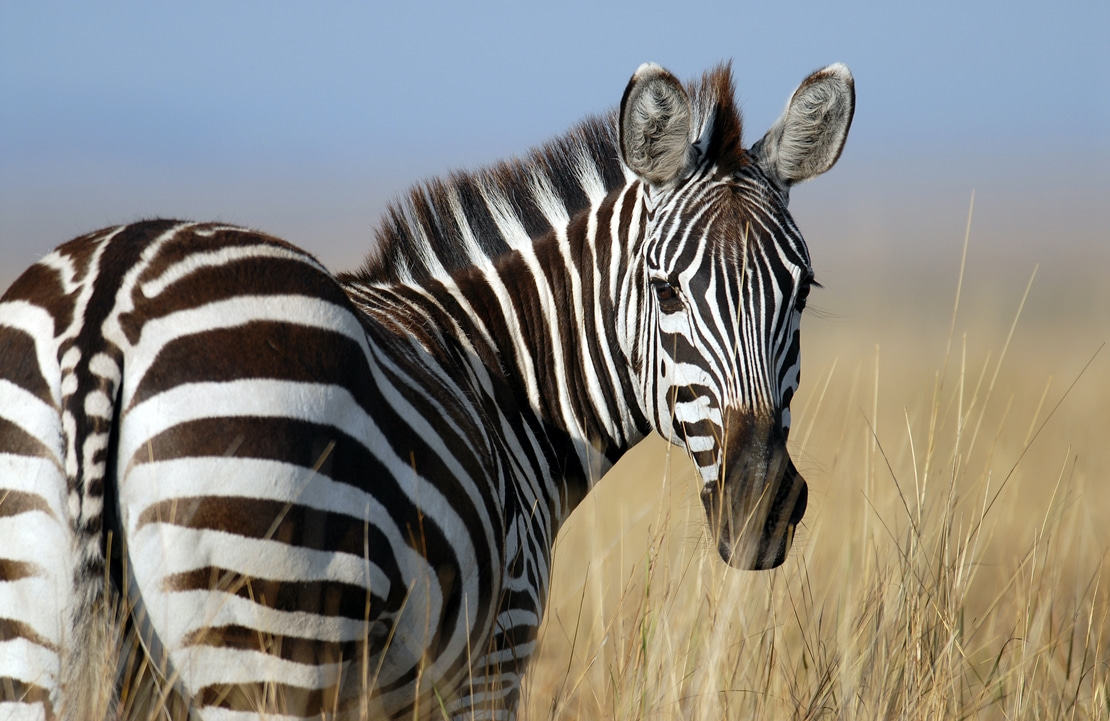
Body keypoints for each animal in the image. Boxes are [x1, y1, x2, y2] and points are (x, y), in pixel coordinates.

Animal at [0, 63, 852, 718]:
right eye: (666, 291)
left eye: (801, 291)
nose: (761, 505)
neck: (507, 380)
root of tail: (106, 304)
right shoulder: (493, 652)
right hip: (263, 638)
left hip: (36, 636)